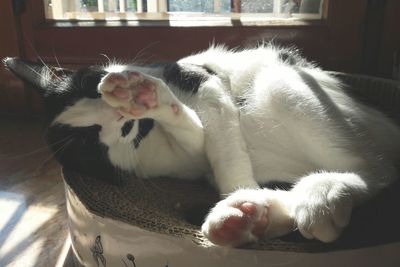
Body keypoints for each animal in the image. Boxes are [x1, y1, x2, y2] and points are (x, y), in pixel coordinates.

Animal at [3, 44, 400, 247]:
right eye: (94, 144)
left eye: (89, 84)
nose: (120, 112)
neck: (150, 134)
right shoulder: (189, 159)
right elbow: (200, 139)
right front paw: (244, 201)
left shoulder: (205, 84)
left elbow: (220, 144)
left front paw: (144, 92)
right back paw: (246, 219)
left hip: (282, 84)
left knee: (379, 171)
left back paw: (315, 194)